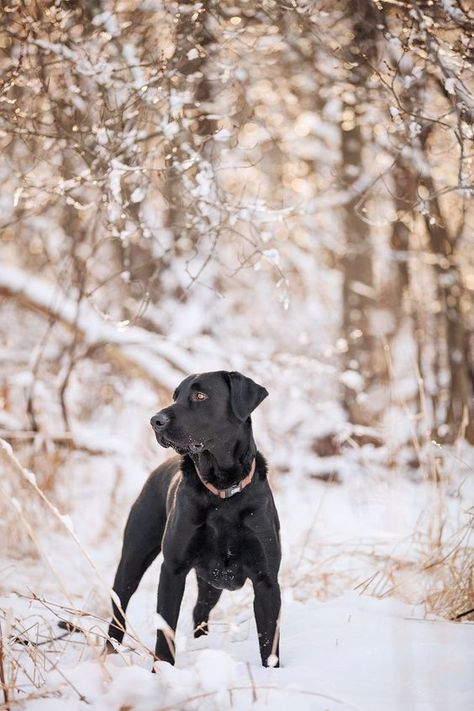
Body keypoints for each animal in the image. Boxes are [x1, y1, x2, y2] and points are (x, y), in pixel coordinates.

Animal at [107, 372, 282, 668]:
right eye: (175, 395)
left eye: (200, 396)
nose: (155, 421)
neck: (223, 491)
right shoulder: (173, 569)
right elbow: (165, 632)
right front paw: (161, 672)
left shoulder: (266, 578)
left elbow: (269, 643)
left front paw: (272, 672)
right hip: (132, 559)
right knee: (118, 610)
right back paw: (109, 652)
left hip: (212, 583)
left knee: (200, 610)